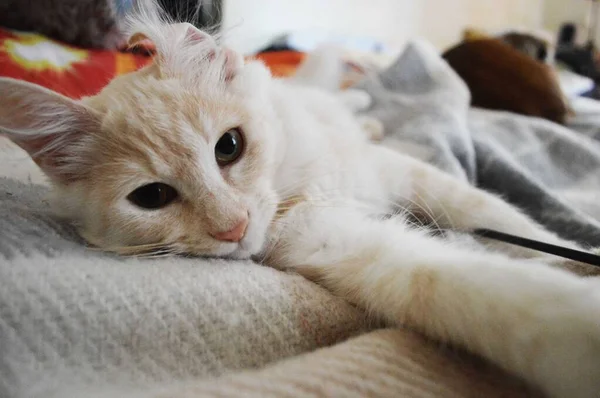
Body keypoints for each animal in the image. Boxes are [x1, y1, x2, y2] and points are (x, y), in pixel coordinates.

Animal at [1, 13, 600, 398]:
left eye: (229, 147)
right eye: (151, 198)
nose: (233, 227)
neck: (301, 182)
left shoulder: (398, 173)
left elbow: (495, 214)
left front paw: (570, 251)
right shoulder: (342, 247)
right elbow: (483, 290)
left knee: (346, 99)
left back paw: (365, 105)